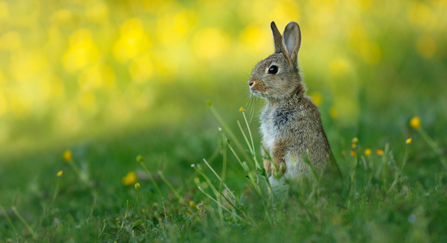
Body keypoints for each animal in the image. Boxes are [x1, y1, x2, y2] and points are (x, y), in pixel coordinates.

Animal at [248, 21, 344, 196]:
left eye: (273, 69)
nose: (250, 83)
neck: (283, 99)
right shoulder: (267, 136)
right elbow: (265, 148)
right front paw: (267, 167)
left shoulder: (286, 134)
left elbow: (277, 150)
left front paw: (274, 169)